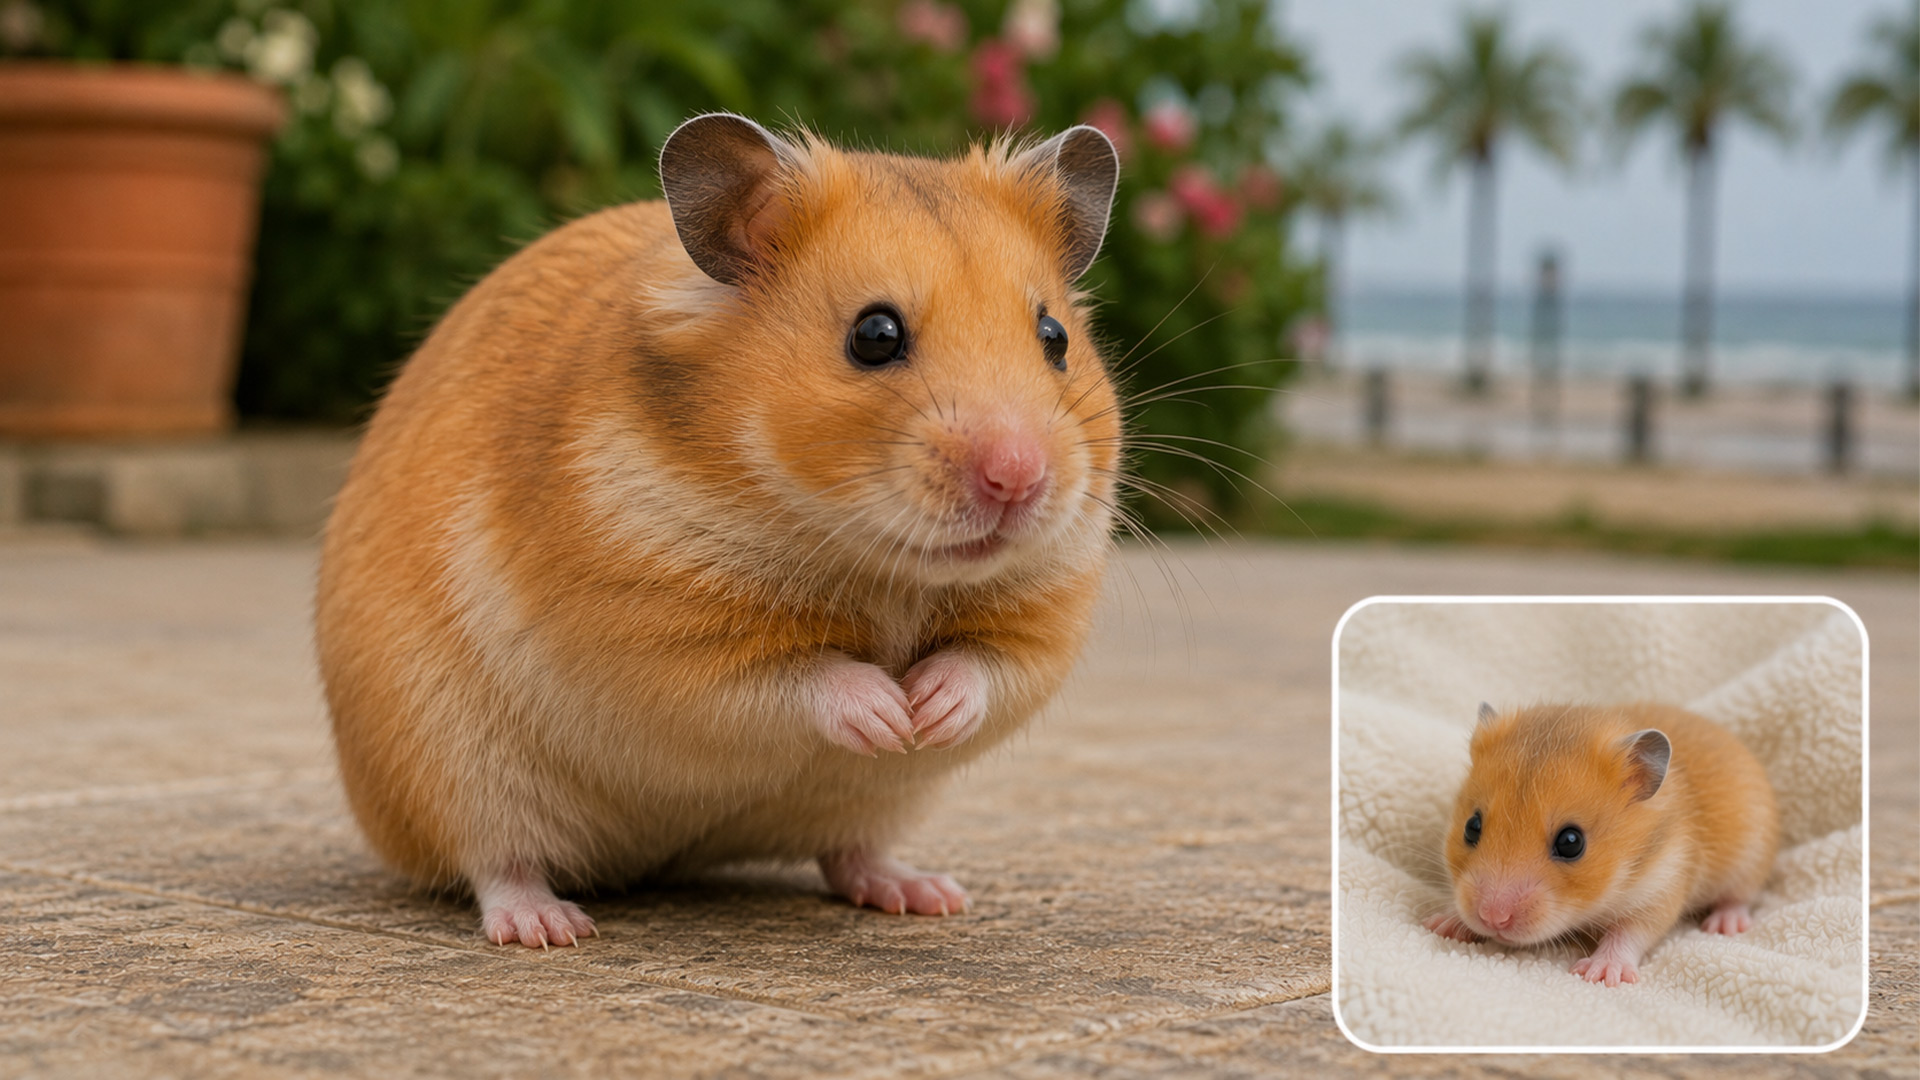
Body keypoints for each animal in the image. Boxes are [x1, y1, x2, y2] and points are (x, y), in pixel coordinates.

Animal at [315, 113, 1122, 947]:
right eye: (874, 335)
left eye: (1055, 336)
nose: (1019, 478)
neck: (883, 566)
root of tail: (655, 861)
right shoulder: (663, 639)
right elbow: (809, 678)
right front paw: (889, 712)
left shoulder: (1044, 620)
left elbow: (984, 669)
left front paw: (927, 714)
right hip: (452, 768)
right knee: (496, 862)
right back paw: (549, 926)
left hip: (875, 803)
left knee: (848, 852)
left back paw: (927, 893)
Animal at [1423, 702, 1778, 987]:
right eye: (1472, 827)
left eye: (1571, 842)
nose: (1493, 919)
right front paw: (1441, 924)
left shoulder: (1662, 884)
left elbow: (1630, 932)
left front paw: (1597, 974)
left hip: (1750, 859)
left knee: (1740, 897)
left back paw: (1723, 924)